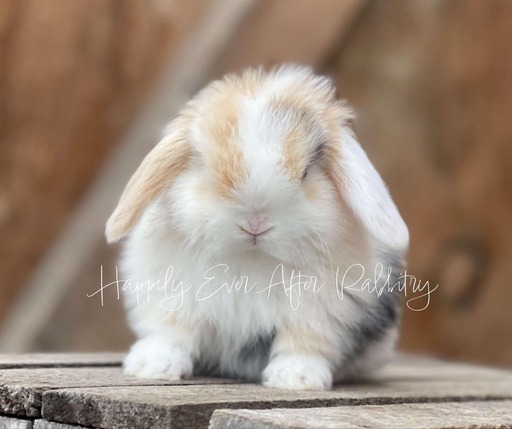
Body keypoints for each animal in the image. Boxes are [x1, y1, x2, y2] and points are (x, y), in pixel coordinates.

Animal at [105, 65, 408, 390]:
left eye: (305, 173)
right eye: (205, 167)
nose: (255, 223)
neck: (252, 260)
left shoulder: (321, 312)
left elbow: (303, 342)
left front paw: (296, 379)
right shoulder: (171, 297)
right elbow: (171, 332)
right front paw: (153, 368)